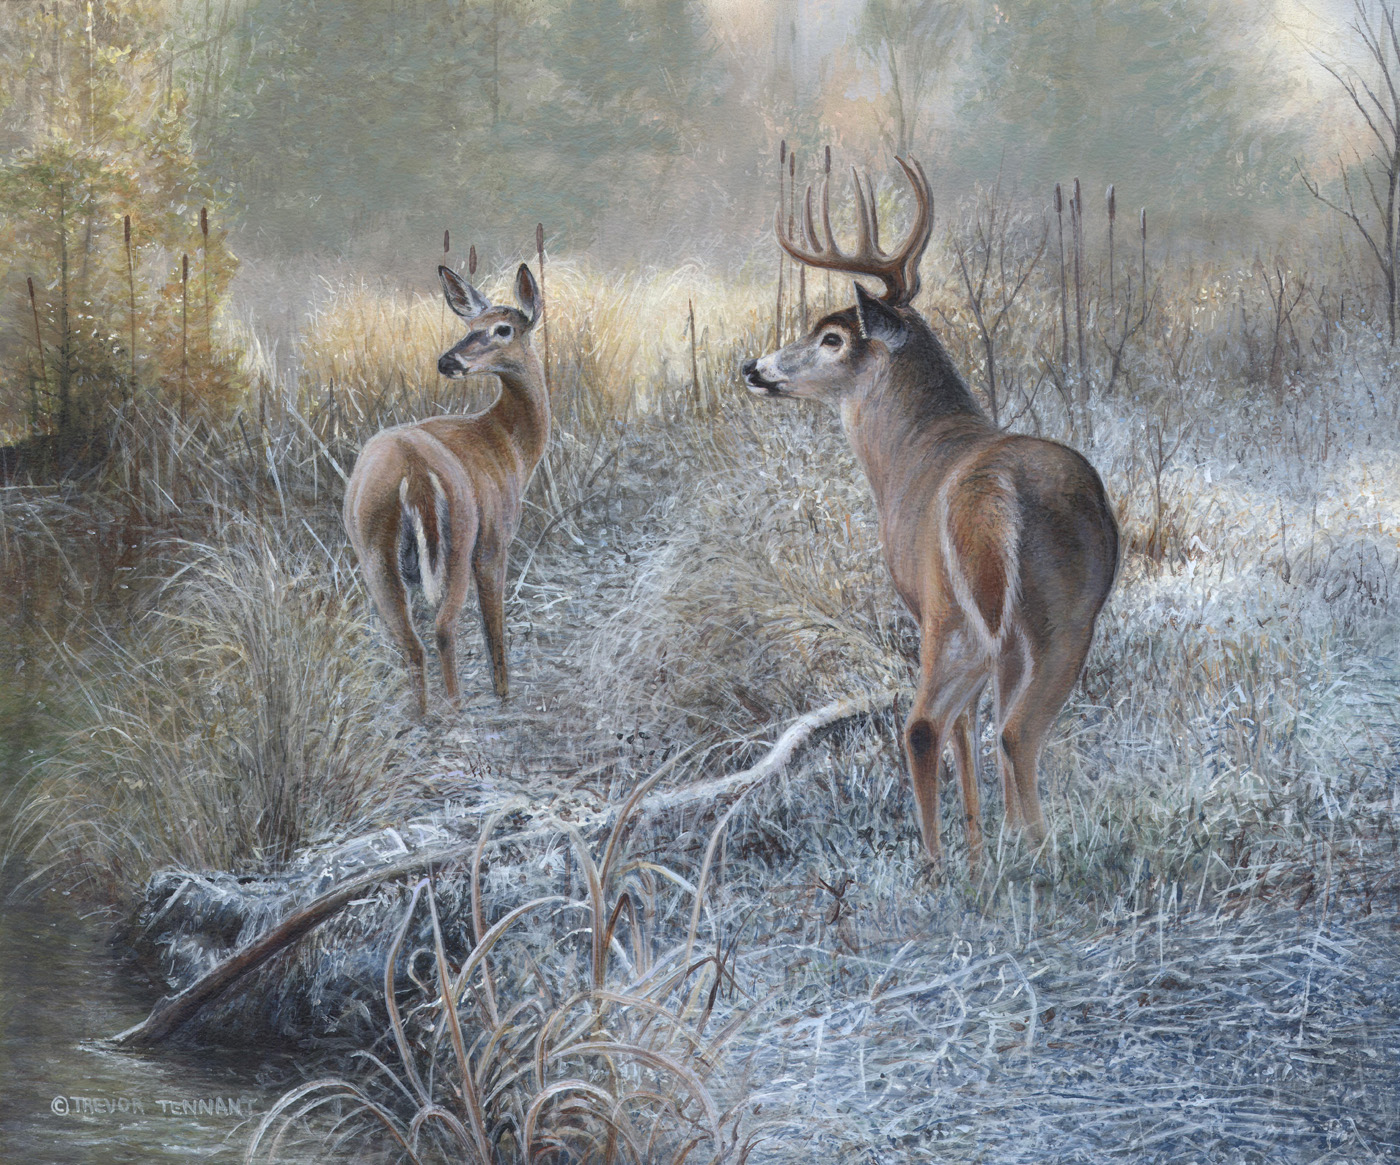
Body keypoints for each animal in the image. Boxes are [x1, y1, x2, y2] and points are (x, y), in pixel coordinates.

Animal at [342, 262, 549, 715]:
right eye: (471, 325)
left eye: (502, 329)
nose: (447, 361)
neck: (506, 444)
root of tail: (413, 470)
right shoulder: (494, 538)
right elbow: (493, 622)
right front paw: (503, 692)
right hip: (458, 539)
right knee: (443, 627)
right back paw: (455, 705)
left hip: (373, 549)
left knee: (410, 641)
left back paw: (422, 713)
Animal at [742, 157, 1119, 869]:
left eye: (831, 336)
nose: (753, 366)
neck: (913, 451)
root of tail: (997, 493)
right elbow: (974, 722)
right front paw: (984, 840)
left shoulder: (921, 603)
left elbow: (959, 725)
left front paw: (974, 846)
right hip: (1049, 613)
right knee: (998, 726)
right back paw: (1016, 848)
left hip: (970, 614)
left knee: (935, 726)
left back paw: (963, 863)